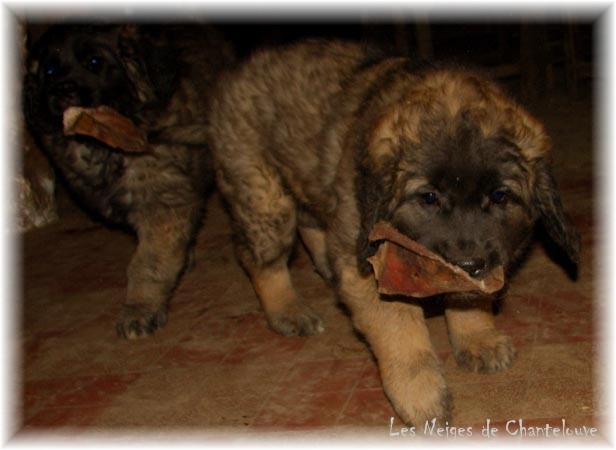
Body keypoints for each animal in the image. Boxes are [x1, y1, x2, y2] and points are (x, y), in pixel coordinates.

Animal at [25, 23, 235, 338]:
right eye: (50, 70)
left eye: (94, 62)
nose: (63, 90)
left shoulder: (162, 204)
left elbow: (147, 263)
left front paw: (139, 310)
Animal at [209, 39, 580, 426]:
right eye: (428, 197)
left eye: (500, 196)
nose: (468, 263)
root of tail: (239, 68)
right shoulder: (369, 261)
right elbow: (400, 329)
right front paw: (420, 394)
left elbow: (470, 297)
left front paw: (478, 337)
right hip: (263, 195)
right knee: (259, 256)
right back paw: (288, 310)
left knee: (313, 221)